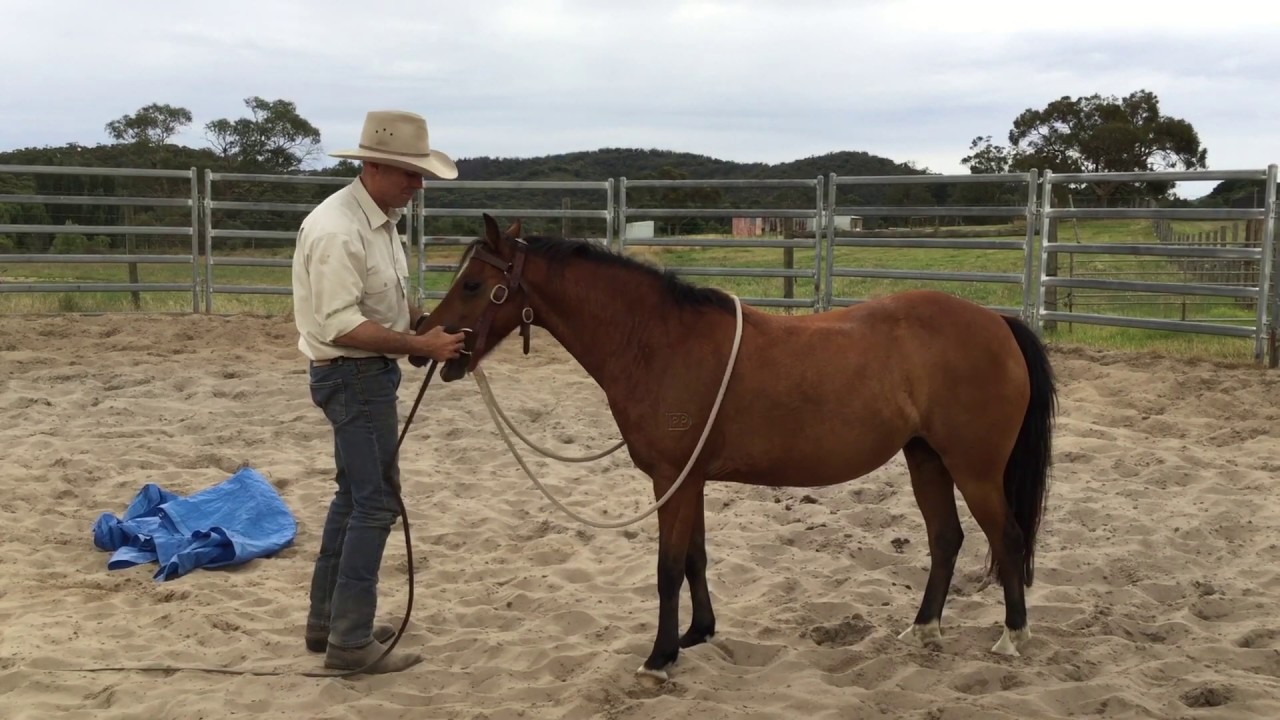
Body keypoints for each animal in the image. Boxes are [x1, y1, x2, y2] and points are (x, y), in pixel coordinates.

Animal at [415, 213, 1057, 683]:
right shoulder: (689, 479)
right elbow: (695, 558)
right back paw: (923, 629)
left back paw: (1012, 639)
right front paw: (697, 634)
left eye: (473, 284)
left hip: (974, 468)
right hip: (926, 458)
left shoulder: (671, 478)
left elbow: (667, 567)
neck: (656, 341)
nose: (427, 342)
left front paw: (659, 658)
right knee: (946, 538)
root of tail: (997, 322)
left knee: (1007, 538)